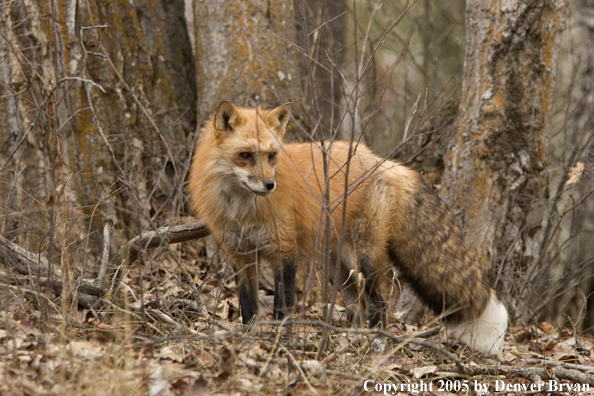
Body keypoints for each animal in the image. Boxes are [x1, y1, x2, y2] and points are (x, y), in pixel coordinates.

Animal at [188, 100, 504, 354]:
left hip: (363, 259)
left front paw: (279, 345)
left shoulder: (285, 252)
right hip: (336, 268)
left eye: (271, 156)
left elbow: (282, 308)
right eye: (246, 155)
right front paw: (248, 341)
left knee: (379, 304)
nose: (269, 185)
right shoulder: (241, 256)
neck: (242, 209)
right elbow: (248, 307)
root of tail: (381, 160)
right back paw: (349, 341)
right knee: (356, 308)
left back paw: (376, 343)